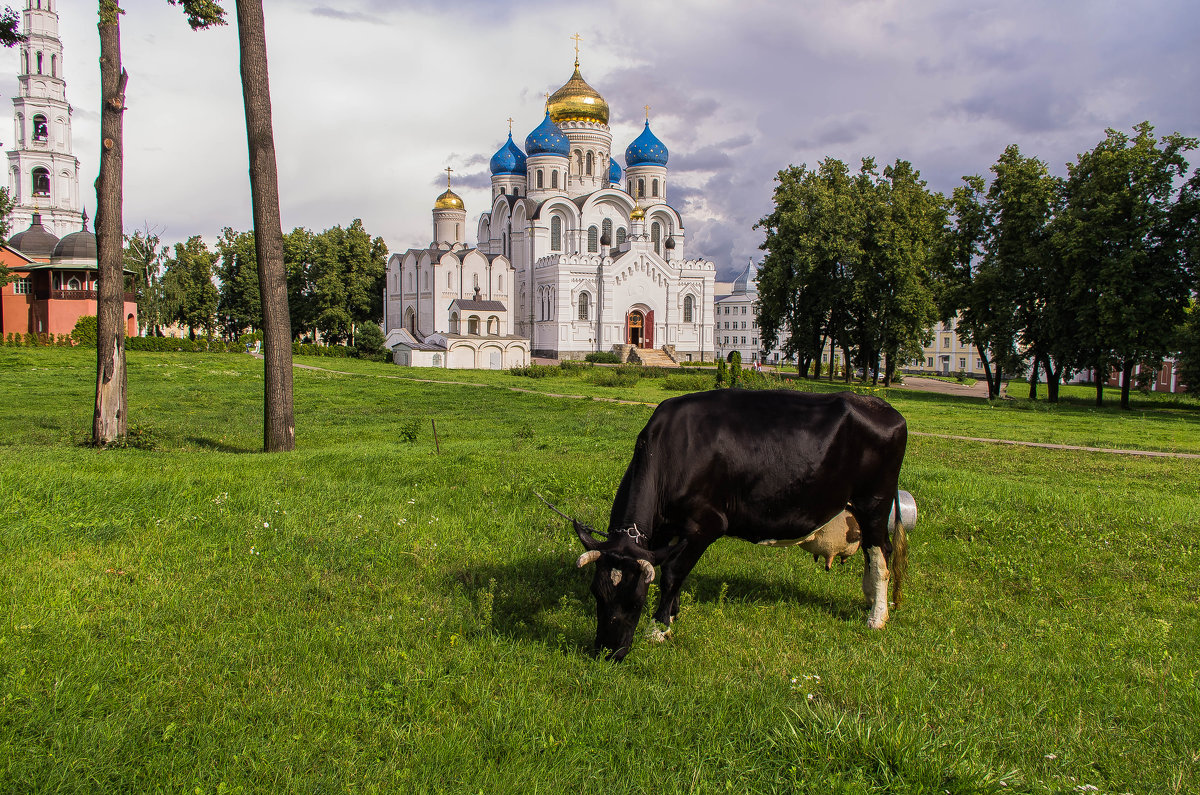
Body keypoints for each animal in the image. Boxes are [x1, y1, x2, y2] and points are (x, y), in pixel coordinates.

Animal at [561, 389, 907, 662]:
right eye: (597, 593)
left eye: (636, 600)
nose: (609, 653)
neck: (673, 450)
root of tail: (884, 407)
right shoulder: (666, 531)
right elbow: (671, 571)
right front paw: (672, 613)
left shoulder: (705, 525)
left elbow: (673, 572)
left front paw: (660, 627)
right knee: (873, 552)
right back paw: (869, 600)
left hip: (874, 502)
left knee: (881, 553)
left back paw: (877, 617)